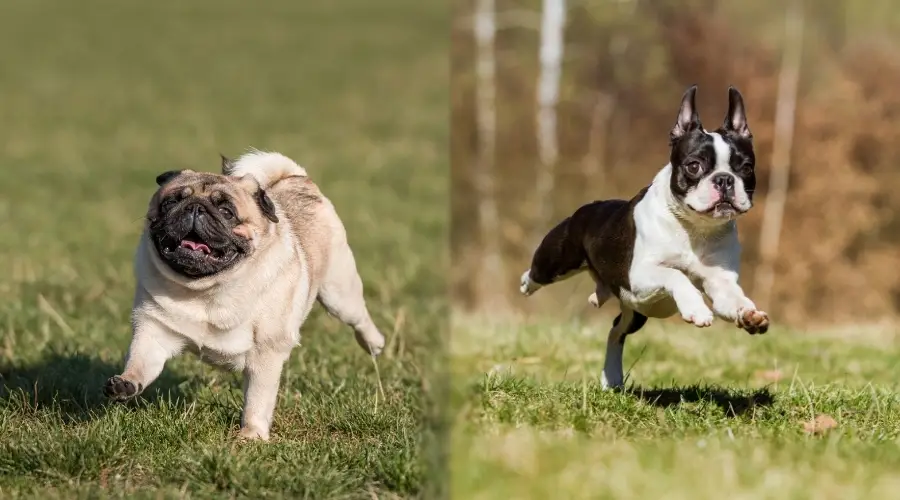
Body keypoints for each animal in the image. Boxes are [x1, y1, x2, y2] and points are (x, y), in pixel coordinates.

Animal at [520, 86, 768, 388]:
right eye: (694, 166)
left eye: (746, 168)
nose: (724, 179)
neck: (694, 229)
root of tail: (591, 206)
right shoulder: (638, 274)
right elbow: (677, 275)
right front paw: (696, 308)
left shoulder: (719, 283)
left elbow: (731, 299)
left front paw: (750, 314)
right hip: (558, 260)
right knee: (538, 273)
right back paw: (526, 284)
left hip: (634, 311)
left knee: (616, 332)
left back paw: (612, 377)